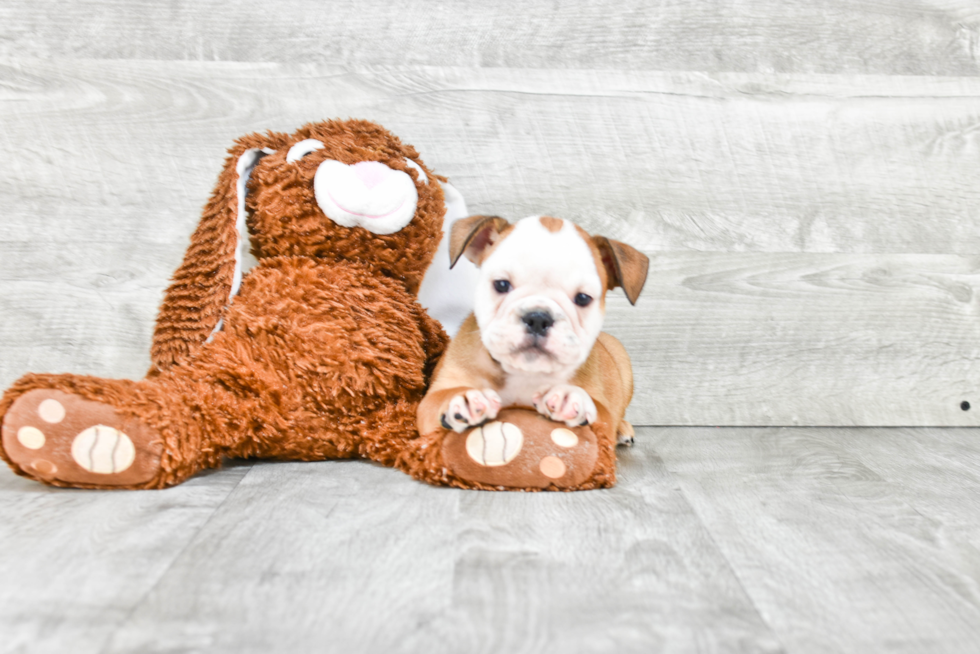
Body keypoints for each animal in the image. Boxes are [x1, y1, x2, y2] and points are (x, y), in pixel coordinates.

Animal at [416, 215, 652, 446]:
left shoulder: (603, 414)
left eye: (583, 298)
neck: (525, 372)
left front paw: (569, 396)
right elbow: (440, 398)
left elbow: (601, 412)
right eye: (501, 284)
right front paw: (464, 399)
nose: (538, 318)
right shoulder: (435, 395)